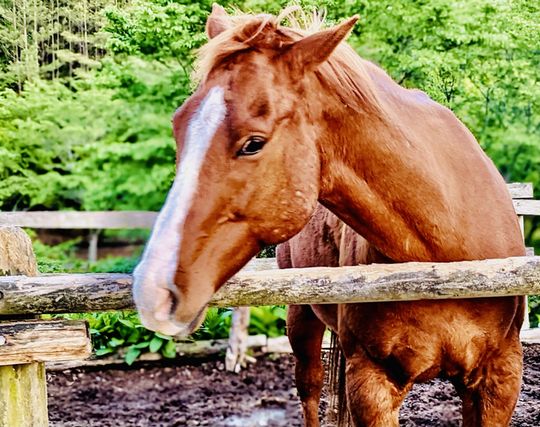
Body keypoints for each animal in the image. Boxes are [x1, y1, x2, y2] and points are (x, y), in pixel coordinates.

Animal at [133, 6, 524, 427]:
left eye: (253, 143)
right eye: (179, 127)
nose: (152, 289)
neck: (442, 260)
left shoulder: (500, 379)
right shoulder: (371, 383)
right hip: (301, 319)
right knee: (309, 389)